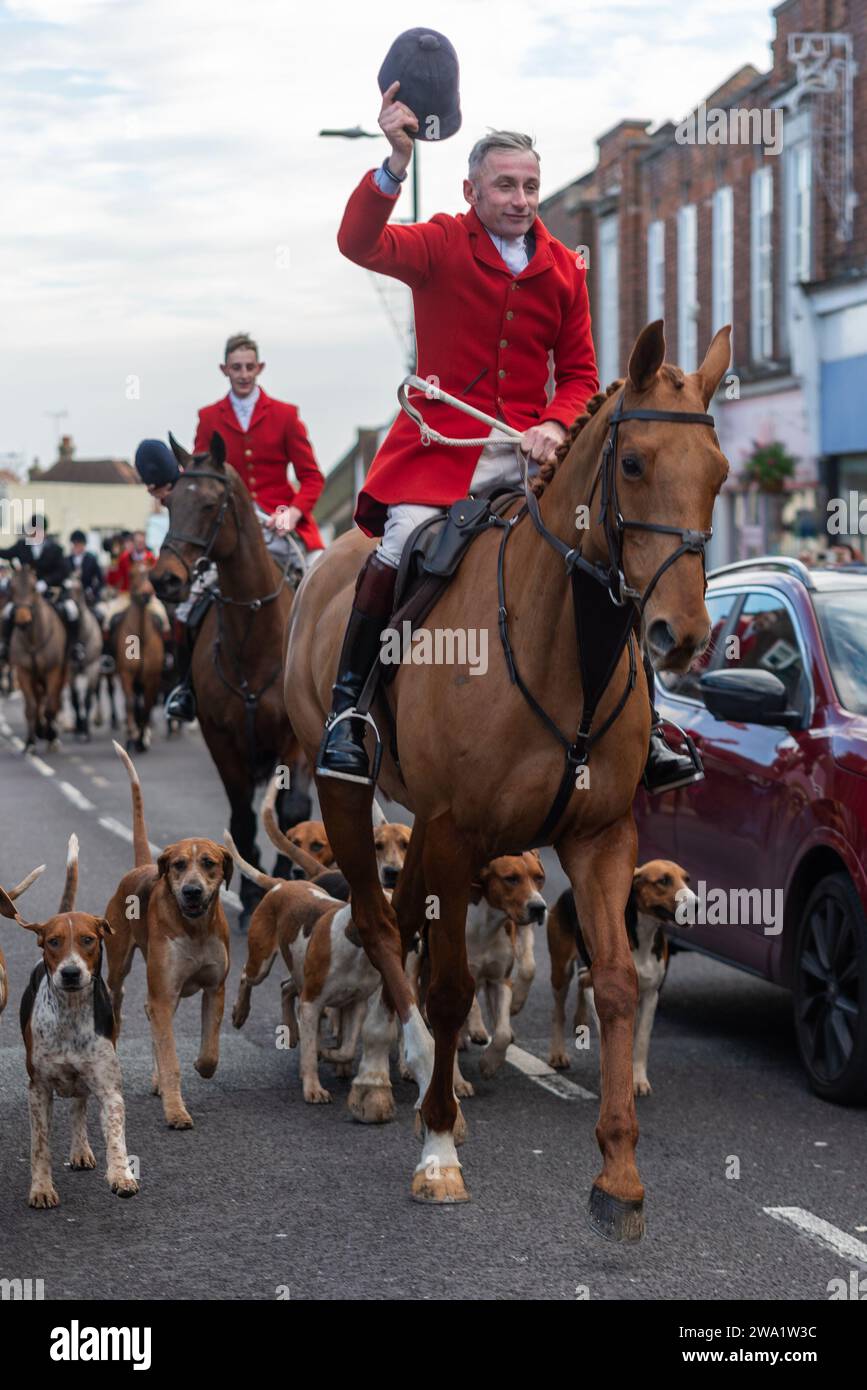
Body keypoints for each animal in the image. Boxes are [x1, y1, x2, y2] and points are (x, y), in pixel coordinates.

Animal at [150, 428, 309, 928]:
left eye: (208, 504)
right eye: (169, 502)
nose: (164, 579)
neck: (254, 632)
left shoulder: (292, 740)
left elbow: (290, 812)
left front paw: (284, 878)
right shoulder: (221, 738)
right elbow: (241, 815)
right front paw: (254, 892)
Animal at [284, 322, 733, 1239]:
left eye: (719, 475)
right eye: (632, 463)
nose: (679, 635)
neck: (564, 644)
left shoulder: (599, 838)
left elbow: (618, 988)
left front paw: (619, 1175)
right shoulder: (459, 835)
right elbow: (453, 988)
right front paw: (437, 1152)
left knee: (396, 925)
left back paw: (394, 1060)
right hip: (348, 792)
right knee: (379, 925)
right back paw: (399, 1069)